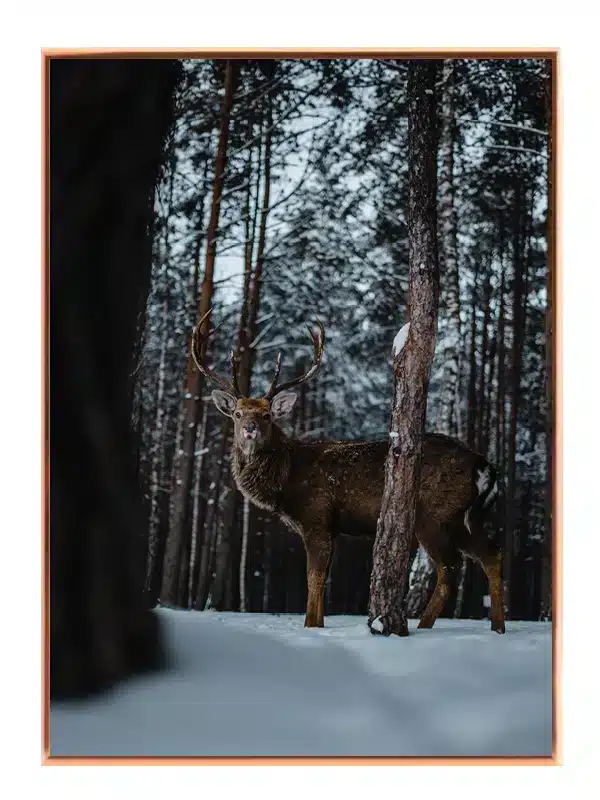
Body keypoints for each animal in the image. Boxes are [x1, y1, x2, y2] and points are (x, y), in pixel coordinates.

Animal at [191, 311, 505, 634]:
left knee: (450, 567)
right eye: (237, 413)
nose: (250, 428)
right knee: (492, 554)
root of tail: (484, 464)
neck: (286, 482)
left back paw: (423, 626)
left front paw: (310, 627)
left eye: (267, 415)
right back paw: (497, 627)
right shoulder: (334, 527)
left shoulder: (316, 517)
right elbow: (323, 581)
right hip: (464, 517)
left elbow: (313, 579)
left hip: (434, 515)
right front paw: (318, 625)